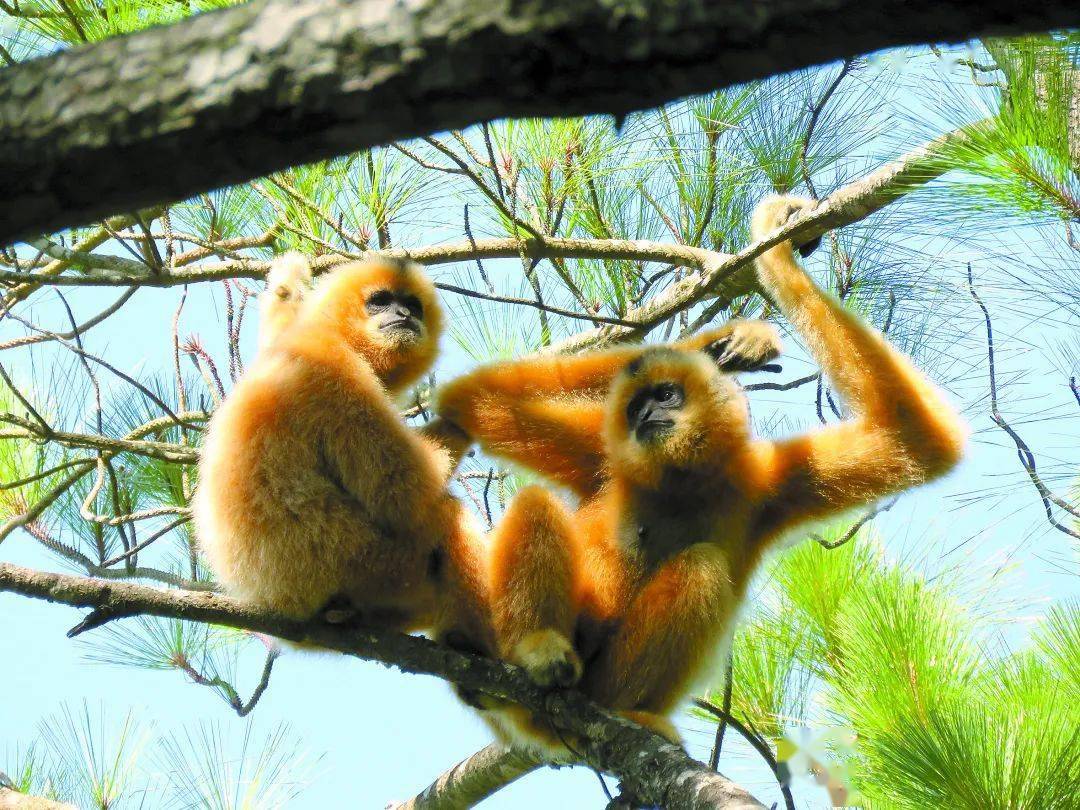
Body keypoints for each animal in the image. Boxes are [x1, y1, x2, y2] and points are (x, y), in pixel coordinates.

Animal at [194, 254, 491, 655]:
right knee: (445, 514)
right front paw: (469, 407)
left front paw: (287, 285)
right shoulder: (336, 370)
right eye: (380, 300)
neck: (337, 336)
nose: (403, 313)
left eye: (412, 304)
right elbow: (403, 493)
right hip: (369, 565)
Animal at [436, 195, 966, 750]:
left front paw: (770, 271)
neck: (680, 484)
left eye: (665, 395)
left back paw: (623, 712)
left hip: (602, 679)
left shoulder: (769, 480)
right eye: (634, 409)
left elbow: (915, 440)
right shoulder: (602, 452)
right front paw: (727, 340)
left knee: (701, 568)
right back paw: (535, 651)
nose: (646, 416)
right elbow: (473, 395)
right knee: (537, 501)